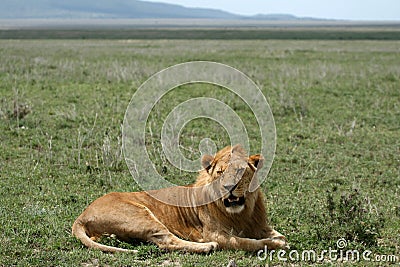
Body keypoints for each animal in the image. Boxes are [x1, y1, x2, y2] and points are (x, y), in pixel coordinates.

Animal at [72, 146, 288, 254]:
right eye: (220, 173)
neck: (242, 212)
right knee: (167, 241)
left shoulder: (259, 225)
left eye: (240, 172)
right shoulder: (215, 233)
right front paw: (275, 244)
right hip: (140, 215)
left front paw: (279, 240)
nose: (229, 187)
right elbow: (248, 243)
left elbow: (278, 235)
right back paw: (207, 247)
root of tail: (82, 214)